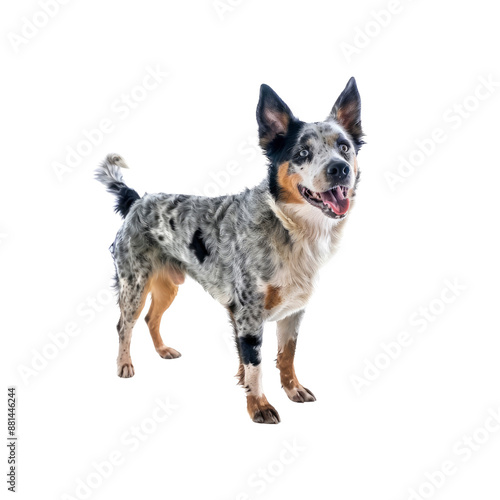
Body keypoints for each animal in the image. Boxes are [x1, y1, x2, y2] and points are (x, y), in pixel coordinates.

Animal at [95, 77, 364, 422]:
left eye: (344, 147)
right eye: (303, 152)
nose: (340, 168)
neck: (288, 228)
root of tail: (137, 199)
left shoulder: (293, 313)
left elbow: (286, 356)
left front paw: (292, 390)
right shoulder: (247, 314)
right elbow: (255, 366)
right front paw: (259, 406)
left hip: (168, 286)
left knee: (151, 319)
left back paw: (163, 350)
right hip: (134, 286)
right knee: (124, 325)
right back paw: (125, 364)